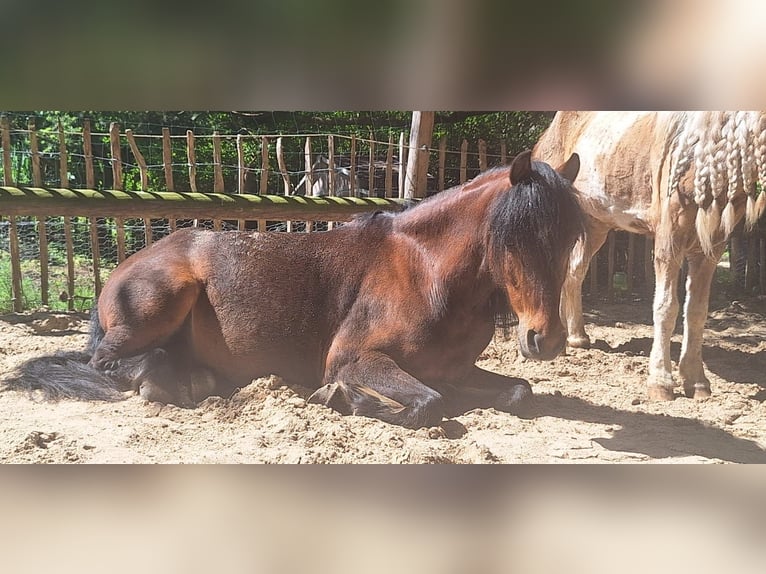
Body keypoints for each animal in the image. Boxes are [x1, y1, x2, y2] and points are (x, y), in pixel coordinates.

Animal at [4, 150, 584, 429]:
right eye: (514, 238)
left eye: (568, 239)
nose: (547, 340)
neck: (428, 275)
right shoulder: (354, 359)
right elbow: (427, 404)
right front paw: (343, 398)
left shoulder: (457, 368)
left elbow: (516, 391)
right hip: (161, 299)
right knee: (107, 363)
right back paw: (169, 381)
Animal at [534, 111, 766, 401]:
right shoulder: (669, 241)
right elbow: (666, 307)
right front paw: (661, 382)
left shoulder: (710, 247)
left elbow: (697, 311)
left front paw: (696, 381)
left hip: (595, 224)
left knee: (575, 273)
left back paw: (576, 337)